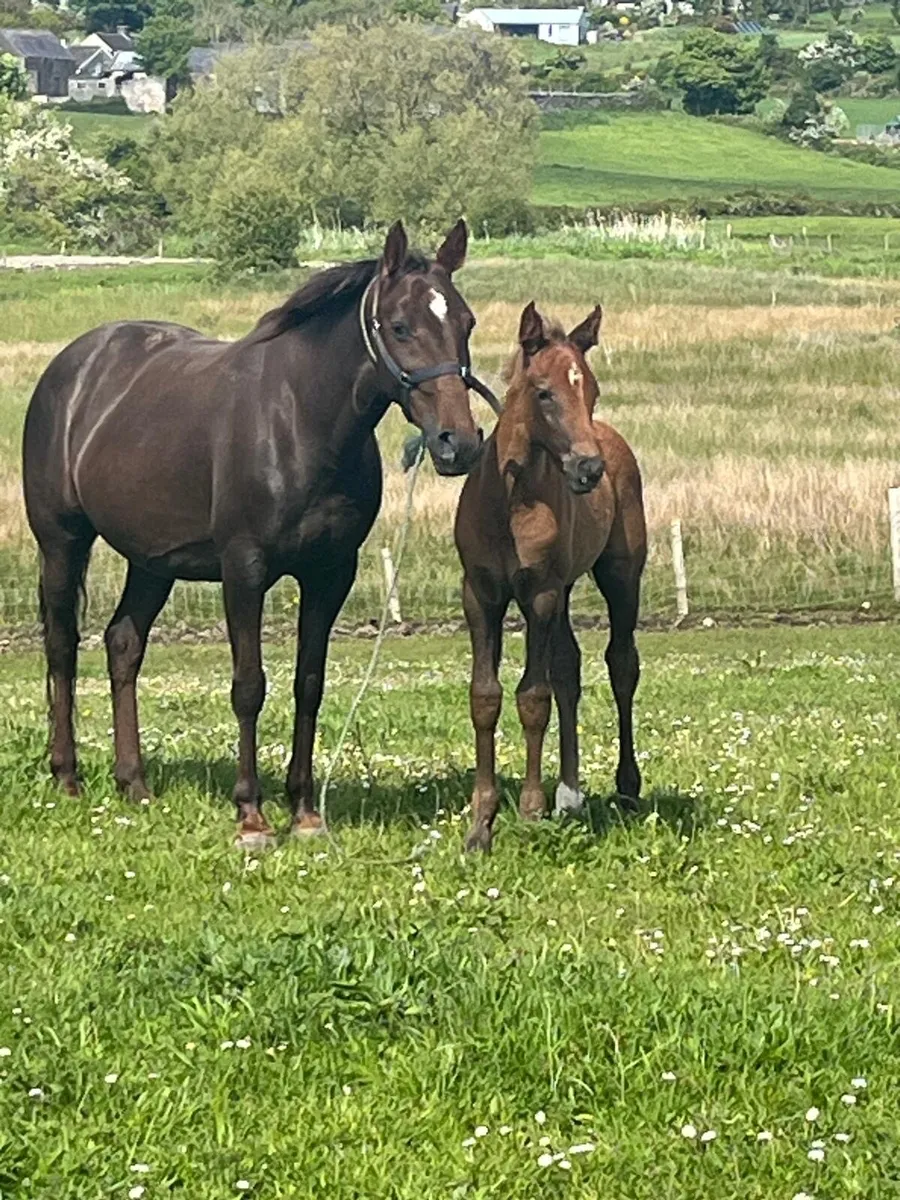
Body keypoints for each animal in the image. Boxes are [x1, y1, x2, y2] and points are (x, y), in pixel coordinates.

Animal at [23, 220, 489, 847]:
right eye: (399, 326)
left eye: (466, 322)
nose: (456, 443)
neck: (300, 419)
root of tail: (71, 366)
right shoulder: (244, 569)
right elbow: (249, 685)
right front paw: (251, 815)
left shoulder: (331, 573)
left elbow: (309, 683)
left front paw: (306, 813)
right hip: (62, 543)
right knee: (62, 645)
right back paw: (67, 777)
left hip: (152, 560)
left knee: (123, 643)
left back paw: (134, 783)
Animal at [454, 301, 647, 852]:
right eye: (544, 392)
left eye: (592, 390)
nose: (588, 469)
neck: (509, 502)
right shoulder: (480, 594)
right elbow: (485, 696)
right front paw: (481, 824)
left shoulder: (538, 593)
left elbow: (532, 697)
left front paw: (530, 811)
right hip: (563, 588)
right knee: (569, 666)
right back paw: (570, 794)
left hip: (620, 574)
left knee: (621, 664)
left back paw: (625, 788)